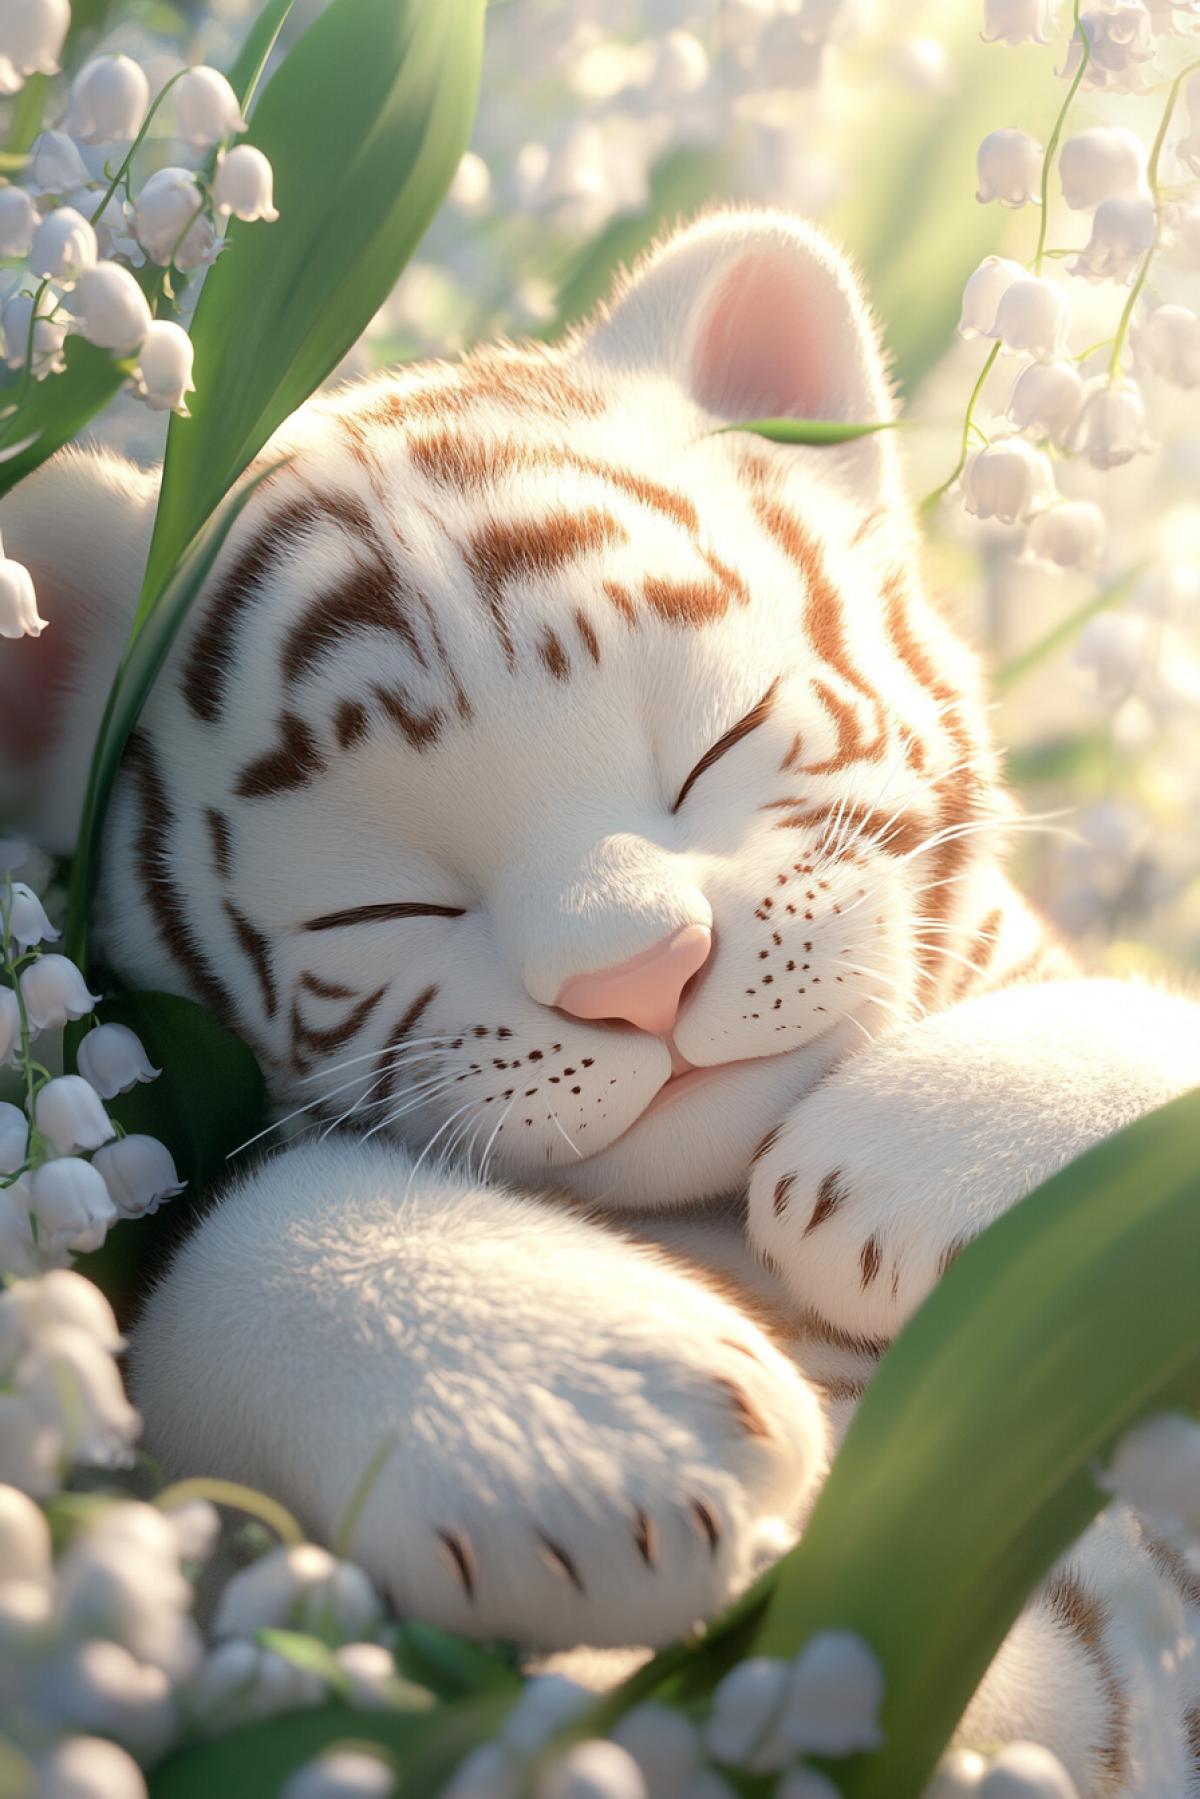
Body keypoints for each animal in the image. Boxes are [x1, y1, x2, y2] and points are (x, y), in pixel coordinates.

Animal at [3, 209, 1200, 1795]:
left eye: (717, 740)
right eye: (390, 903)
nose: (643, 971)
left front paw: (905, 1158)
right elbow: (229, 1241)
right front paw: (584, 1428)